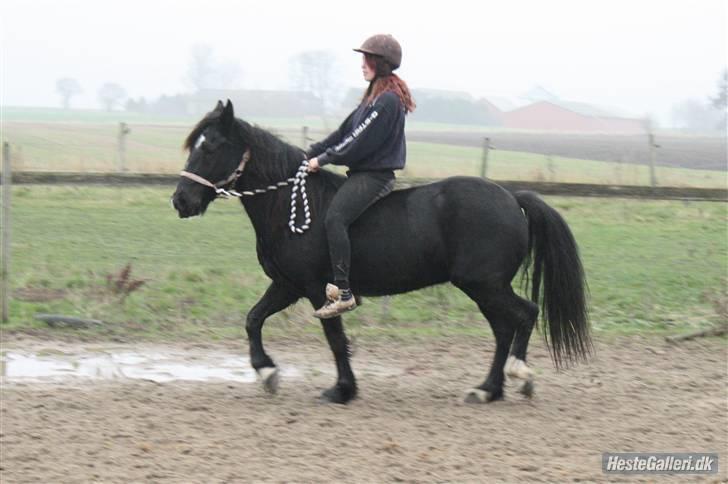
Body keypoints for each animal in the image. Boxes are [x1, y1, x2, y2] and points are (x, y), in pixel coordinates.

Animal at [171, 100, 592, 404]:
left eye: (211, 146)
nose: (181, 201)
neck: (290, 204)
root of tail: (511, 197)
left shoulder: (316, 290)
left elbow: (335, 338)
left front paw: (342, 389)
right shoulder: (286, 286)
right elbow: (253, 320)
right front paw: (267, 372)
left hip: (485, 284)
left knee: (524, 315)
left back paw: (518, 375)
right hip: (484, 287)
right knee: (505, 327)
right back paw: (488, 389)